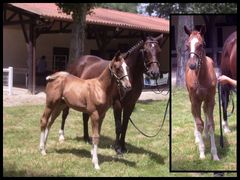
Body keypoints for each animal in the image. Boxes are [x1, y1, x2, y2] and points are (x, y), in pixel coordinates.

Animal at [185, 25, 220, 160]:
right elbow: (199, 122)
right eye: (187, 45)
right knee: (196, 116)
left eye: (201, 44)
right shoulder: (195, 100)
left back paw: (204, 134)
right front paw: (202, 152)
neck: (201, 77)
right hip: (193, 100)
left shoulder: (210, 99)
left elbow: (211, 124)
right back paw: (197, 137)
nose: (192, 65)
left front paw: (215, 155)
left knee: (204, 112)